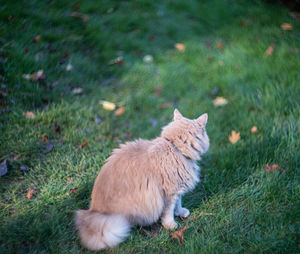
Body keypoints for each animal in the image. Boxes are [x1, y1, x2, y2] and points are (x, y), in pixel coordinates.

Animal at [75, 109, 209, 250]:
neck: (174, 147)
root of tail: (93, 211)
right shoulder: (169, 192)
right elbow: (169, 211)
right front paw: (171, 225)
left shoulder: (177, 189)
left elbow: (178, 203)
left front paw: (181, 212)